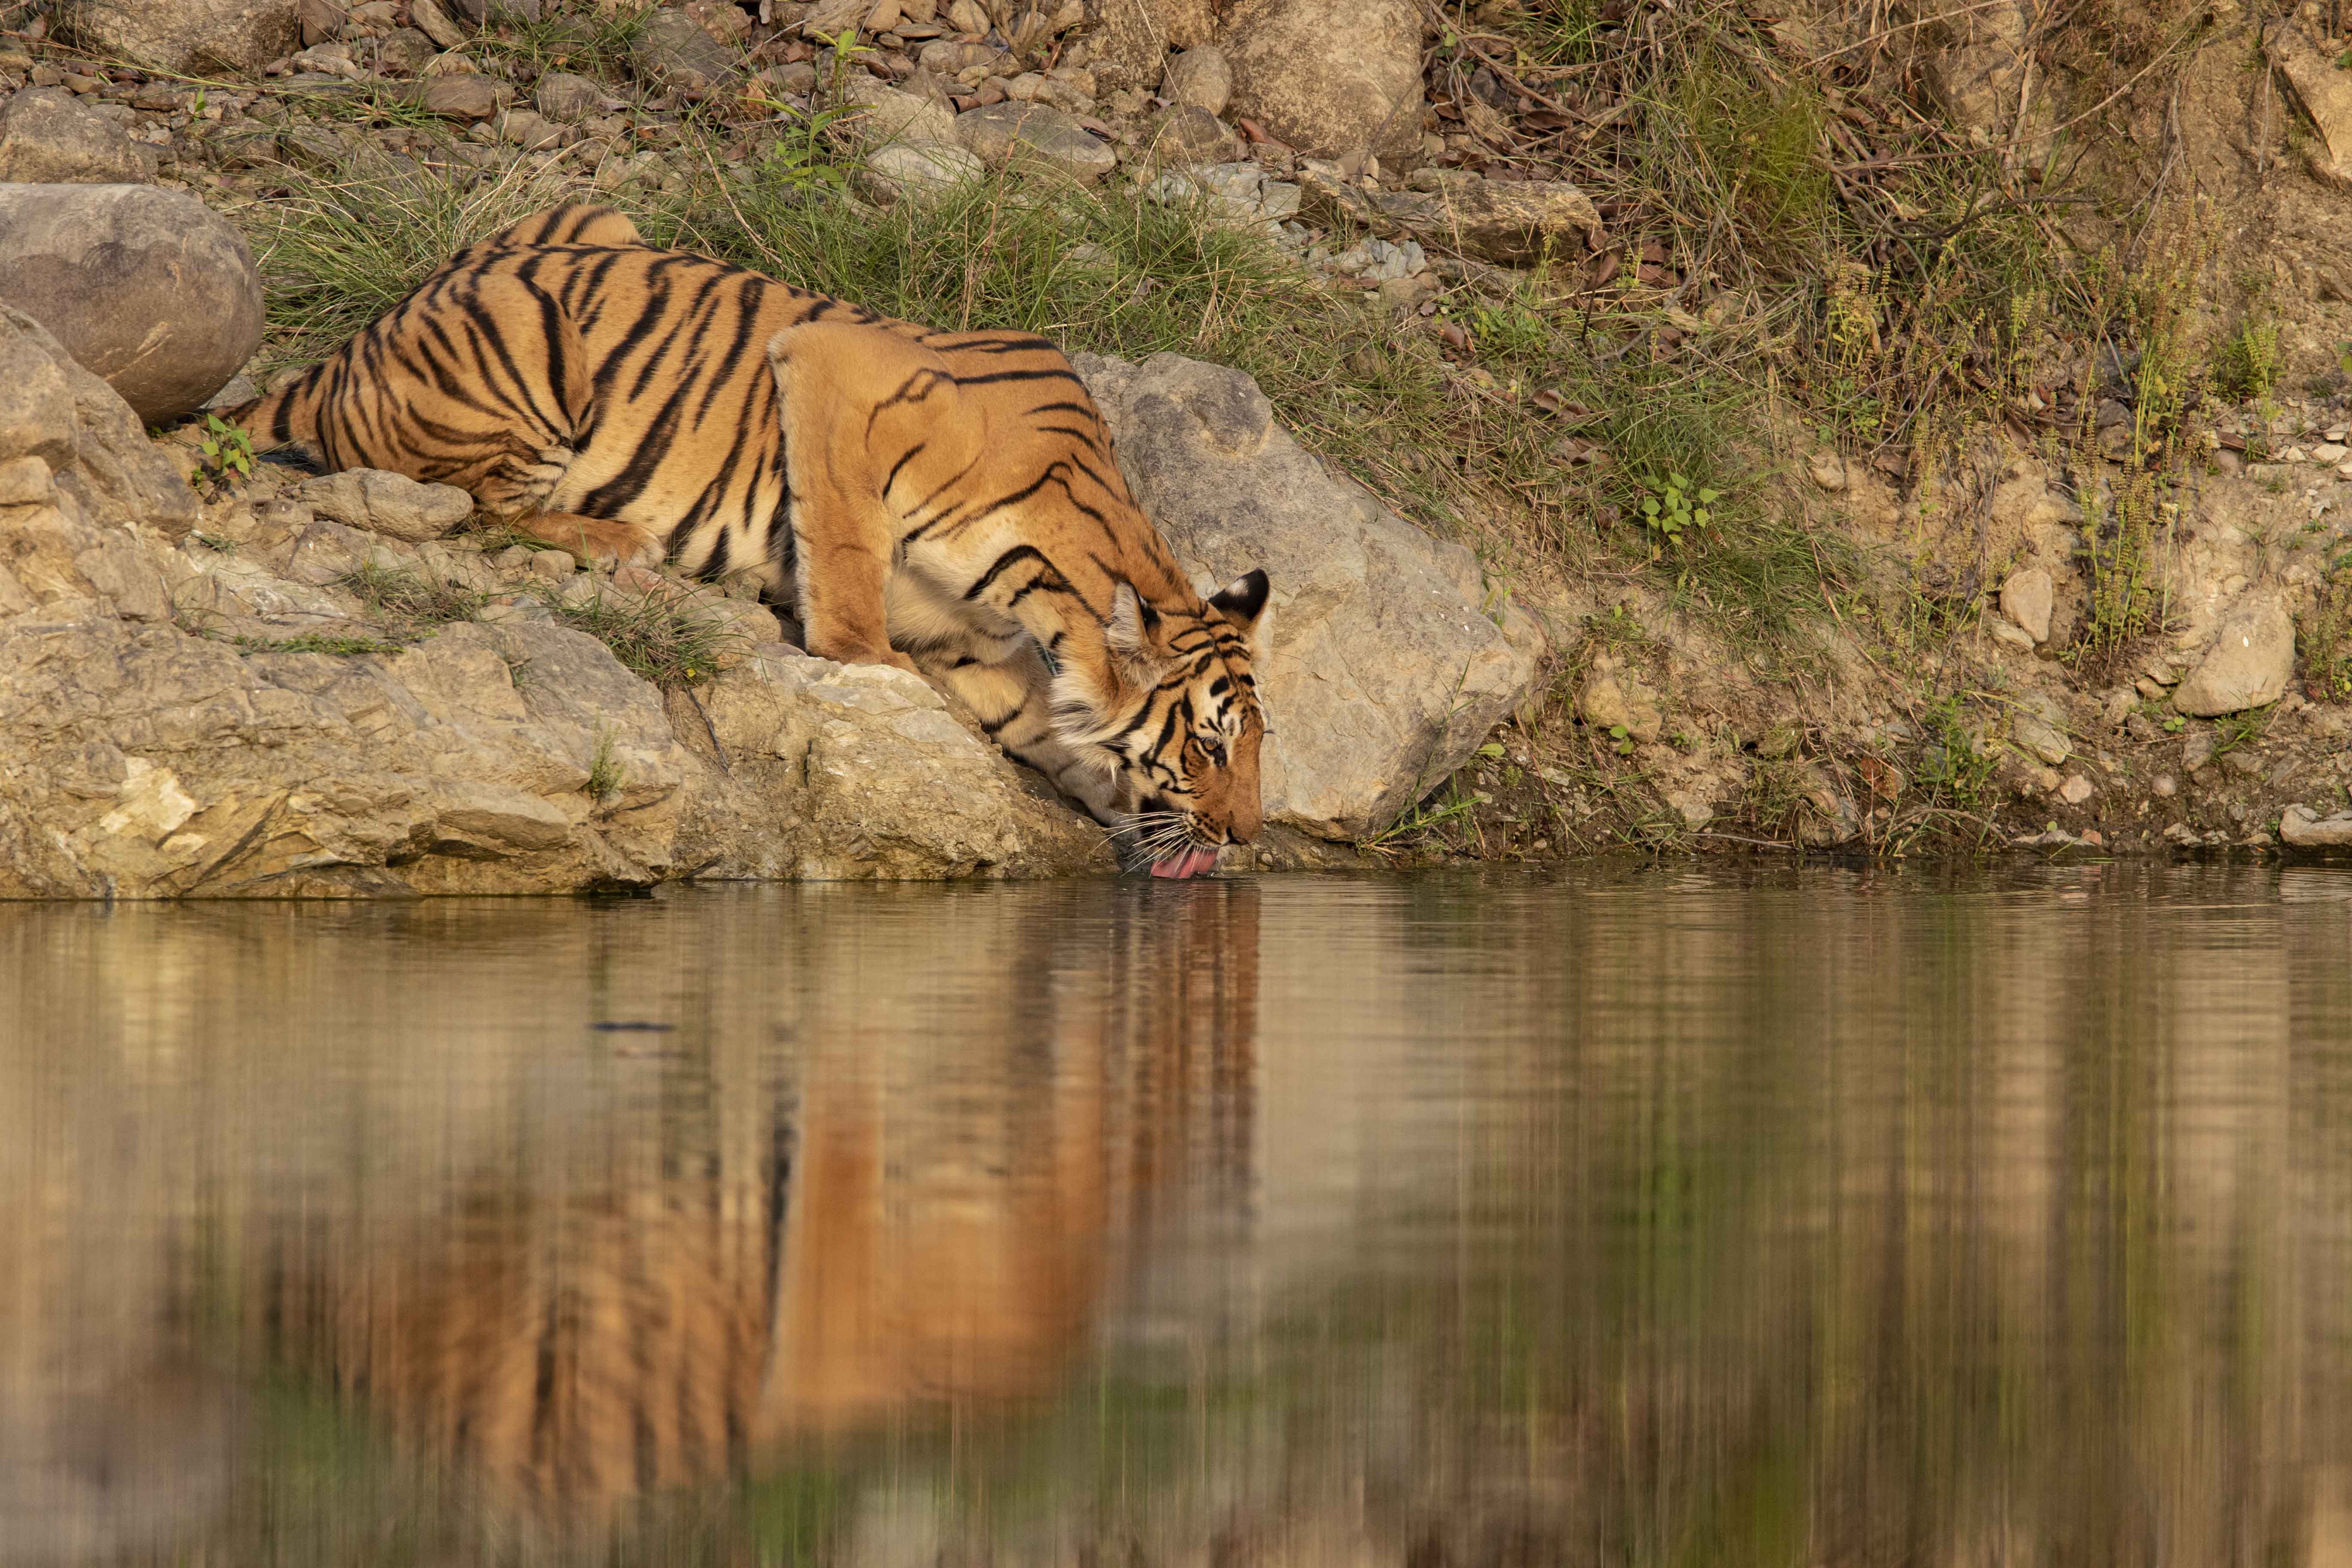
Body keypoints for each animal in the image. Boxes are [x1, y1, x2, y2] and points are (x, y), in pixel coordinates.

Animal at [224, 202, 1270, 879]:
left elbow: (1048, 724)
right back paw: (614, 538)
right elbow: (844, 549)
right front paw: (865, 656)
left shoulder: (978, 643)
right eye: (1209, 747)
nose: (1249, 837)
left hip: (598, 221)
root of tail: (347, 350)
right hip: (530, 349)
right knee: (469, 501)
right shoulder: (832, 370)